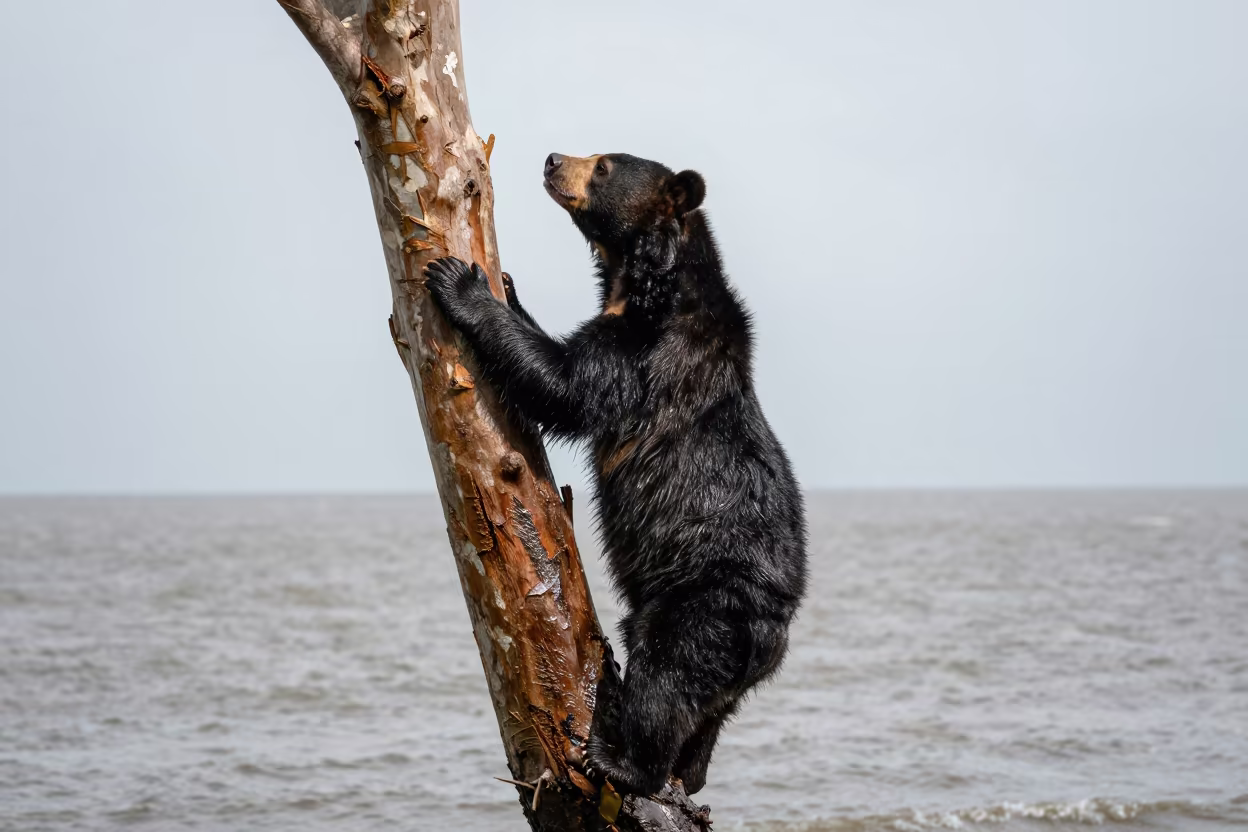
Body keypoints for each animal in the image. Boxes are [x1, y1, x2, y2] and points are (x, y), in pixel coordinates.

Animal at [424, 152, 807, 797]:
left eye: (604, 166)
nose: (553, 160)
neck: (644, 283)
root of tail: (773, 637)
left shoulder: (642, 354)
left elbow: (567, 383)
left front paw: (459, 280)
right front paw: (507, 285)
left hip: (699, 609)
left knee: (664, 679)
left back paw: (623, 762)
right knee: (705, 717)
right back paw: (690, 772)